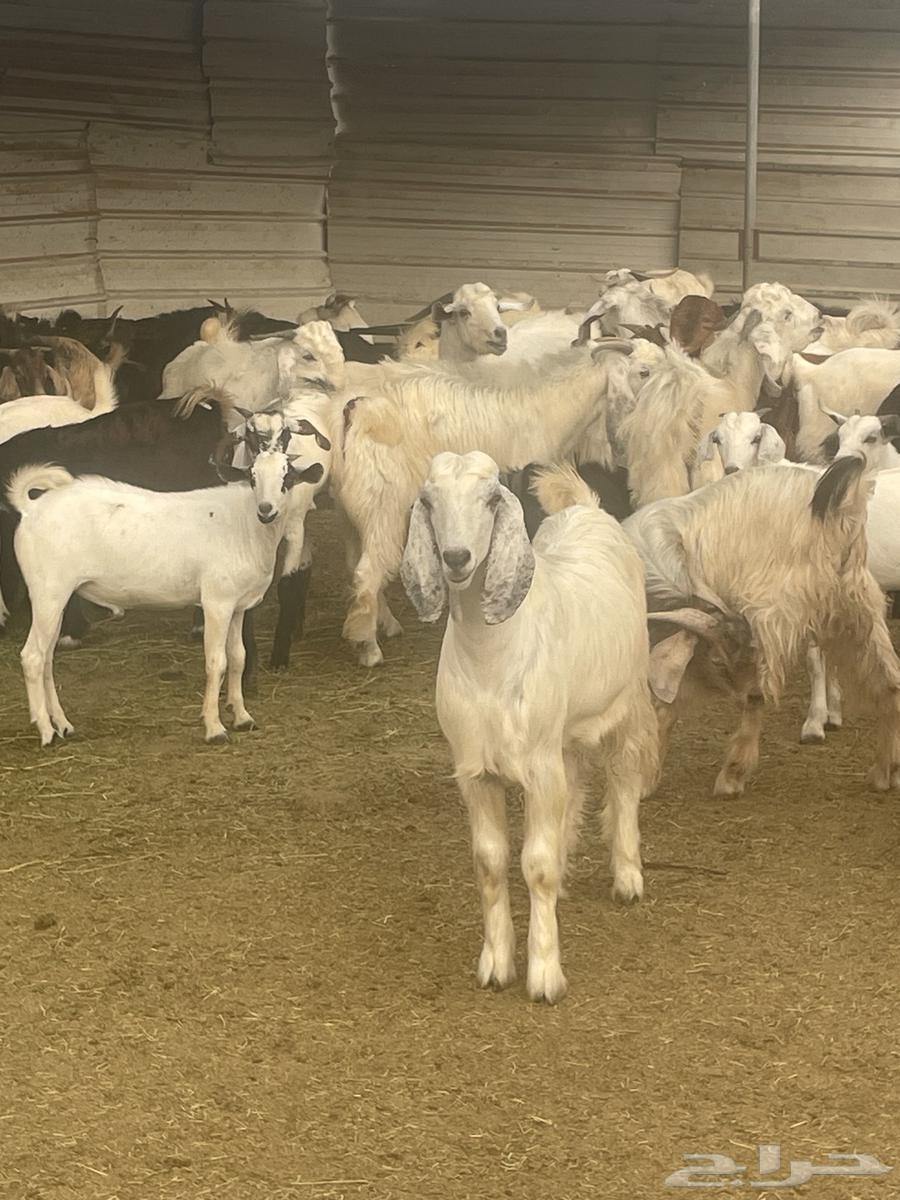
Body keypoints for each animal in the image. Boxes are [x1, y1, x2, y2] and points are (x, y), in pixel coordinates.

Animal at [8, 413, 324, 747]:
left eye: (287, 479)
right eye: (252, 478)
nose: (267, 510)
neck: (246, 525)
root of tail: (31, 508)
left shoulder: (238, 605)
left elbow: (238, 658)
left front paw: (242, 717)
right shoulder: (216, 602)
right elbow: (217, 662)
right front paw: (214, 728)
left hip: (56, 595)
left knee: (47, 657)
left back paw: (63, 725)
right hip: (47, 591)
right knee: (32, 656)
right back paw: (45, 731)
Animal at [401, 453, 657, 1003]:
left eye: (491, 498)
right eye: (428, 500)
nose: (456, 557)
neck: (489, 658)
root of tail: (586, 509)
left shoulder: (539, 768)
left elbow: (534, 866)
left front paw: (544, 975)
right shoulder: (476, 770)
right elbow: (490, 863)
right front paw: (496, 963)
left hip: (627, 698)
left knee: (624, 777)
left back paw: (627, 875)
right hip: (564, 731)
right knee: (577, 777)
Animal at [625, 459, 900, 795]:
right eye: (718, 662)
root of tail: (832, 511)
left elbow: (665, 705)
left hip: (772, 608)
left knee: (759, 693)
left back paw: (733, 773)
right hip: (857, 606)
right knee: (890, 681)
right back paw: (886, 770)